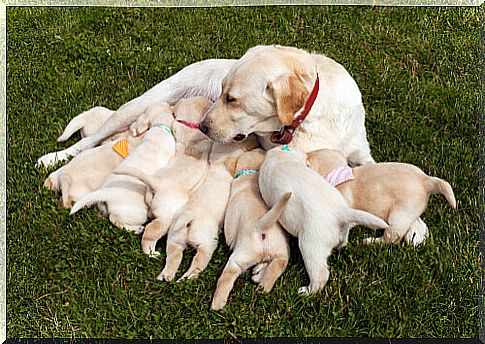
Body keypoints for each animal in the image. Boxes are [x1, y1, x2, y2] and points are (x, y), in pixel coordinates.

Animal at [210, 149, 290, 310]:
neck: (250, 173)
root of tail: (261, 227)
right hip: (282, 251)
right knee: (275, 268)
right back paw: (260, 281)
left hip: (239, 256)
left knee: (227, 278)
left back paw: (217, 303)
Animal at [306, 149, 454, 246]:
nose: (306, 153)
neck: (339, 175)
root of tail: (426, 179)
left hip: (398, 217)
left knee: (391, 239)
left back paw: (370, 241)